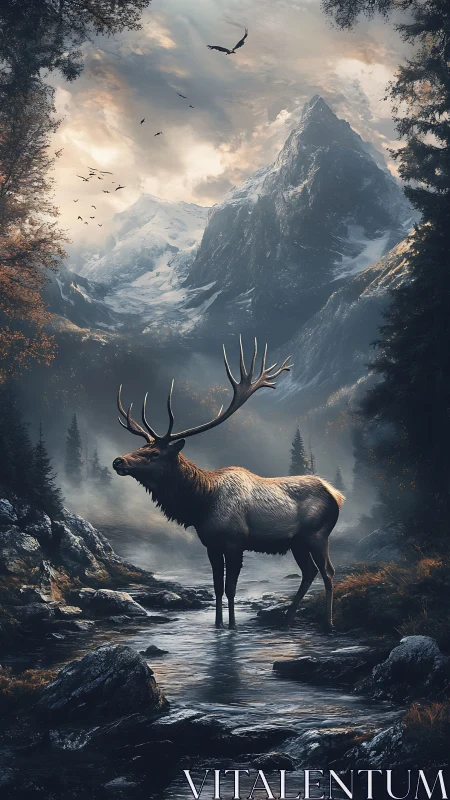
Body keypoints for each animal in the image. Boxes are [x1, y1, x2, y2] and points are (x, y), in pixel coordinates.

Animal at [112, 339, 344, 631]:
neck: (201, 504)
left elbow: (231, 588)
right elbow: (217, 588)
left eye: (153, 453)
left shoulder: (235, 541)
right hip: (297, 541)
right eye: (141, 447)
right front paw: (217, 626)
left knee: (328, 571)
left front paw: (232, 627)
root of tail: (336, 495)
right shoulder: (210, 544)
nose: (118, 460)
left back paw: (328, 623)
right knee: (309, 572)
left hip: (317, 534)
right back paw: (287, 620)